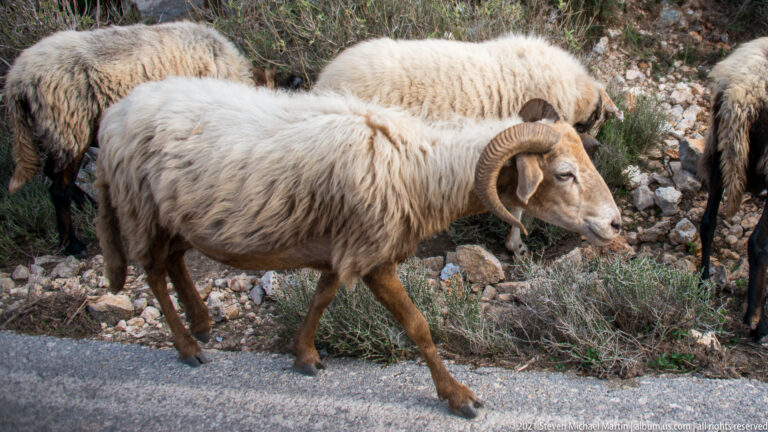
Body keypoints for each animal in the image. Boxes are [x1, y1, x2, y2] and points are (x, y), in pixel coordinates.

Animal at [4, 21, 255, 256]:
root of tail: (16, 79)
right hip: (70, 125)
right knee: (58, 190)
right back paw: (71, 244)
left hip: (62, 132)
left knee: (51, 172)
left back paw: (88, 204)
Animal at [95, 77, 621, 418]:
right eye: (564, 174)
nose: (615, 223)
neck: (419, 167)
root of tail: (115, 114)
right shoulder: (373, 257)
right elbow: (417, 326)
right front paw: (457, 395)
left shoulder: (345, 247)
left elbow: (322, 296)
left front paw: (304, 354)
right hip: (142, 208)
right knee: (154, 271)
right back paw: (187, 345)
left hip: (175, 215)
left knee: (175, 260)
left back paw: (202, 322)